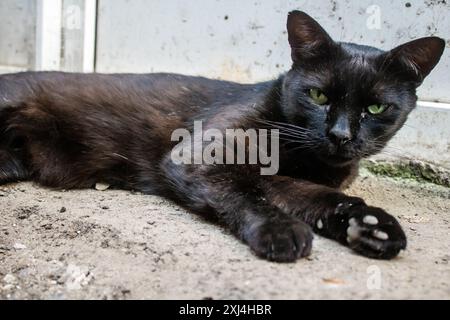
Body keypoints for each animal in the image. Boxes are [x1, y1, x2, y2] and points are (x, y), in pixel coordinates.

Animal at [0, 11, 444, 262]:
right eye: (319, 95)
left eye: (376, 108)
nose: (340, 135)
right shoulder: (201, 156)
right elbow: (243, 194)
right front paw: (279, 230)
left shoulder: (284, 182)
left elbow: (322, 198)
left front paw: (372, 225)